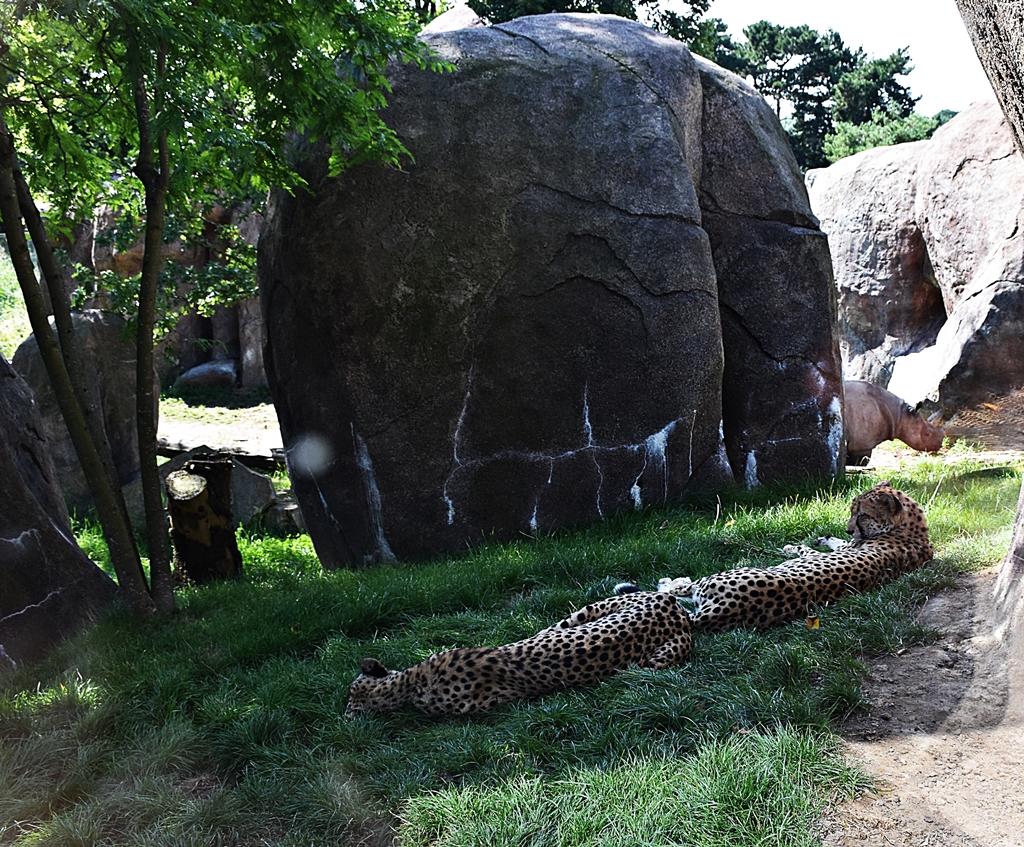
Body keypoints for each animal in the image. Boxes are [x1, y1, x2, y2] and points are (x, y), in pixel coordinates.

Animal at [619, 480, 933, 634]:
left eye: (863, 515)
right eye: (852, 510)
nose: (848, 527)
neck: (911, 527)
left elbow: (810, 549)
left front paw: (797, 545)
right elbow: (830, 545)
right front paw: (826, 537)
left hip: (721, 575)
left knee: (679, 590)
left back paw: (668, 581)